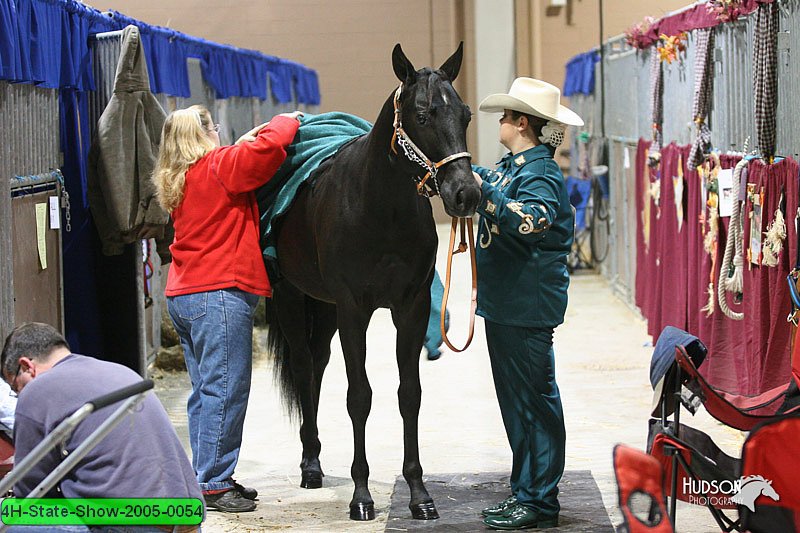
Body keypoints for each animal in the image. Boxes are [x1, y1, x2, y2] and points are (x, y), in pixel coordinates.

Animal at [264, 42, 482, 520]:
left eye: (465, 115)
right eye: (421, 115)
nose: (466, 194)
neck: (379, 209)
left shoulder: (410, 307)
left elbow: (409, 394)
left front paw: (419, 495)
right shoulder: (354, 309)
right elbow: (359, 396)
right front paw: (361, 497)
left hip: (323, 306)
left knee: (318, 365)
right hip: (292, 297)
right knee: (304, 368)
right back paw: (310, 467)